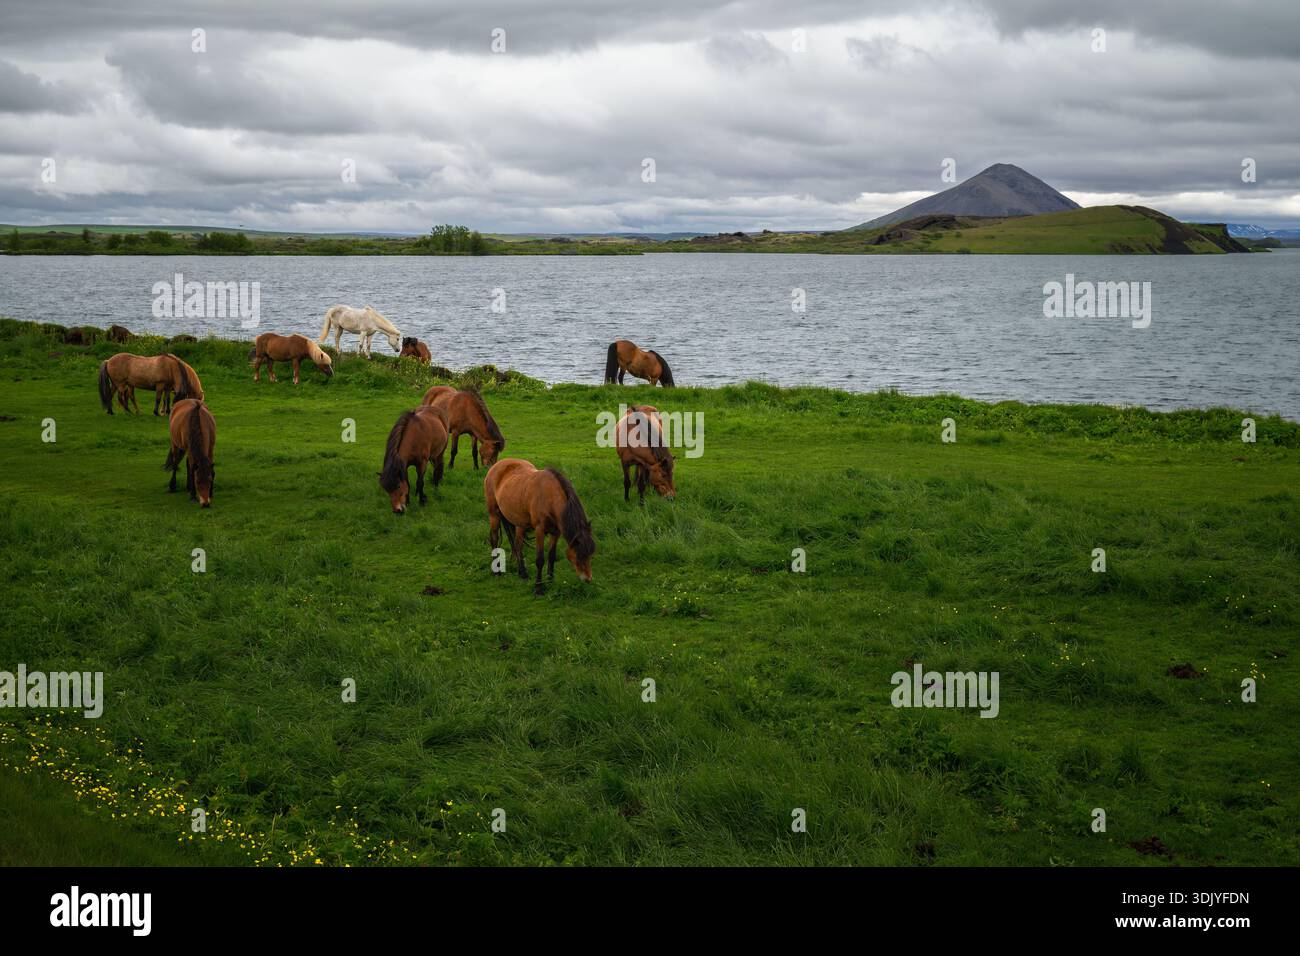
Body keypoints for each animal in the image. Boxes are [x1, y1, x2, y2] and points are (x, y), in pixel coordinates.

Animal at [484, 459, 595, 595]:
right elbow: (540, 559)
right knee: (494, 540)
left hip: (519, 523)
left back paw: (523, 574)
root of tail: (496, 465)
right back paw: (497, 573)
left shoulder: (556, 532)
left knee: (518, 545)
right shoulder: (539, 531)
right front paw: (538, 588)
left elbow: (551, 556)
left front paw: (550, 580)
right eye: (579, 554)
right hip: (494, 515)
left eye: (590, 554)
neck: (549, 496)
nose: (588, 579)